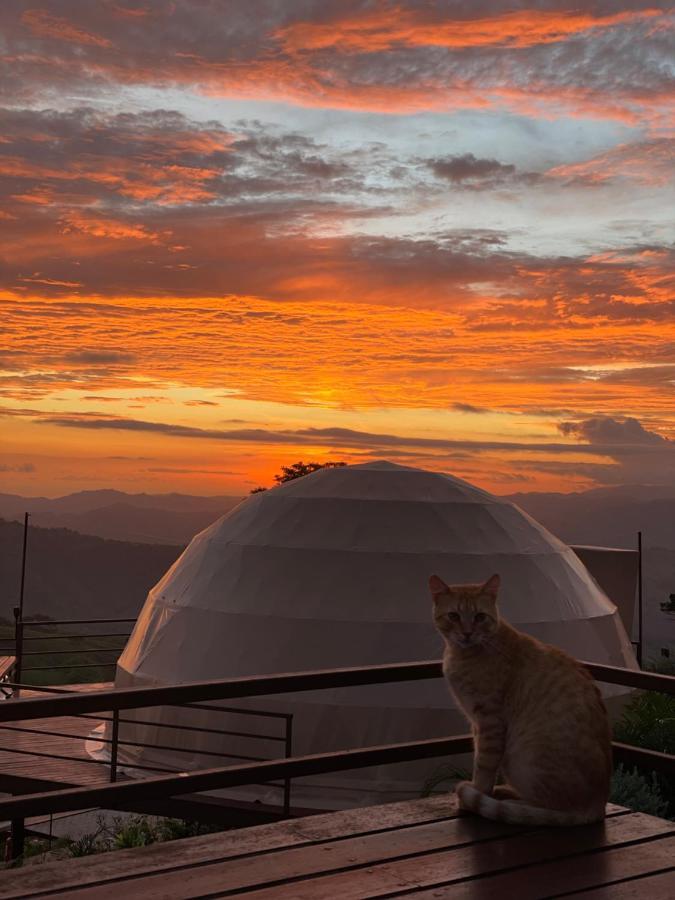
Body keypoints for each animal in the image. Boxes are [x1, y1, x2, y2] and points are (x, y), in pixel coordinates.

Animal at [434, 576, 612, 824]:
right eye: (454, 616)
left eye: (479, 617)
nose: (467, 633)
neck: (461, 655)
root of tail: (599, 804)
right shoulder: (475, 723)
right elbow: (478, 756)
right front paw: (481, 791)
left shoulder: (490, 720)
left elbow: (484, 764)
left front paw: (476, 793)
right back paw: (504, 792)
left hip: (524, 758)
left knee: (547, 808)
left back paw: (508, 802)